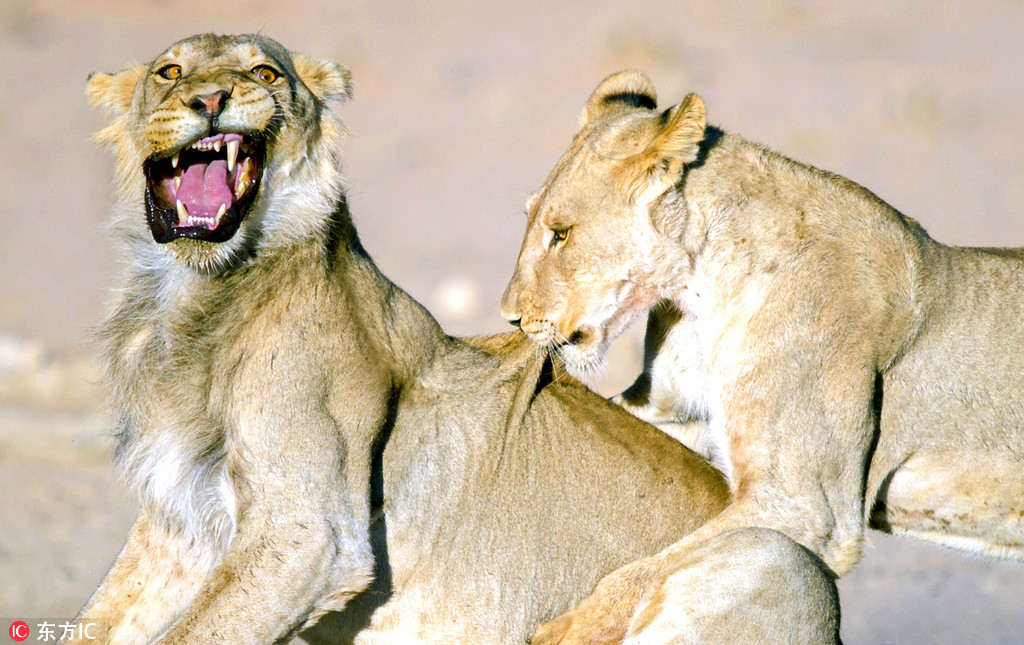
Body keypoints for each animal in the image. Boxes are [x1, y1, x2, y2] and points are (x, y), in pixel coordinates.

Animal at [68, 36, 835, 645]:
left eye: (264, 72)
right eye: (169, 71)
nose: (211, 98)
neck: (191, 296)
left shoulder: (310, 536)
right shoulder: (179, 518)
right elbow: (105, 615)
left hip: (778, 559)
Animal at [503, 69, 1024, 642]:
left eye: (561, 233)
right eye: (532, 219)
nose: (511, 317)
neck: (698, 279)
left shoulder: (807, 505)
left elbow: (642, 574)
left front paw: (562, 630)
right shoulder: (678, 412)